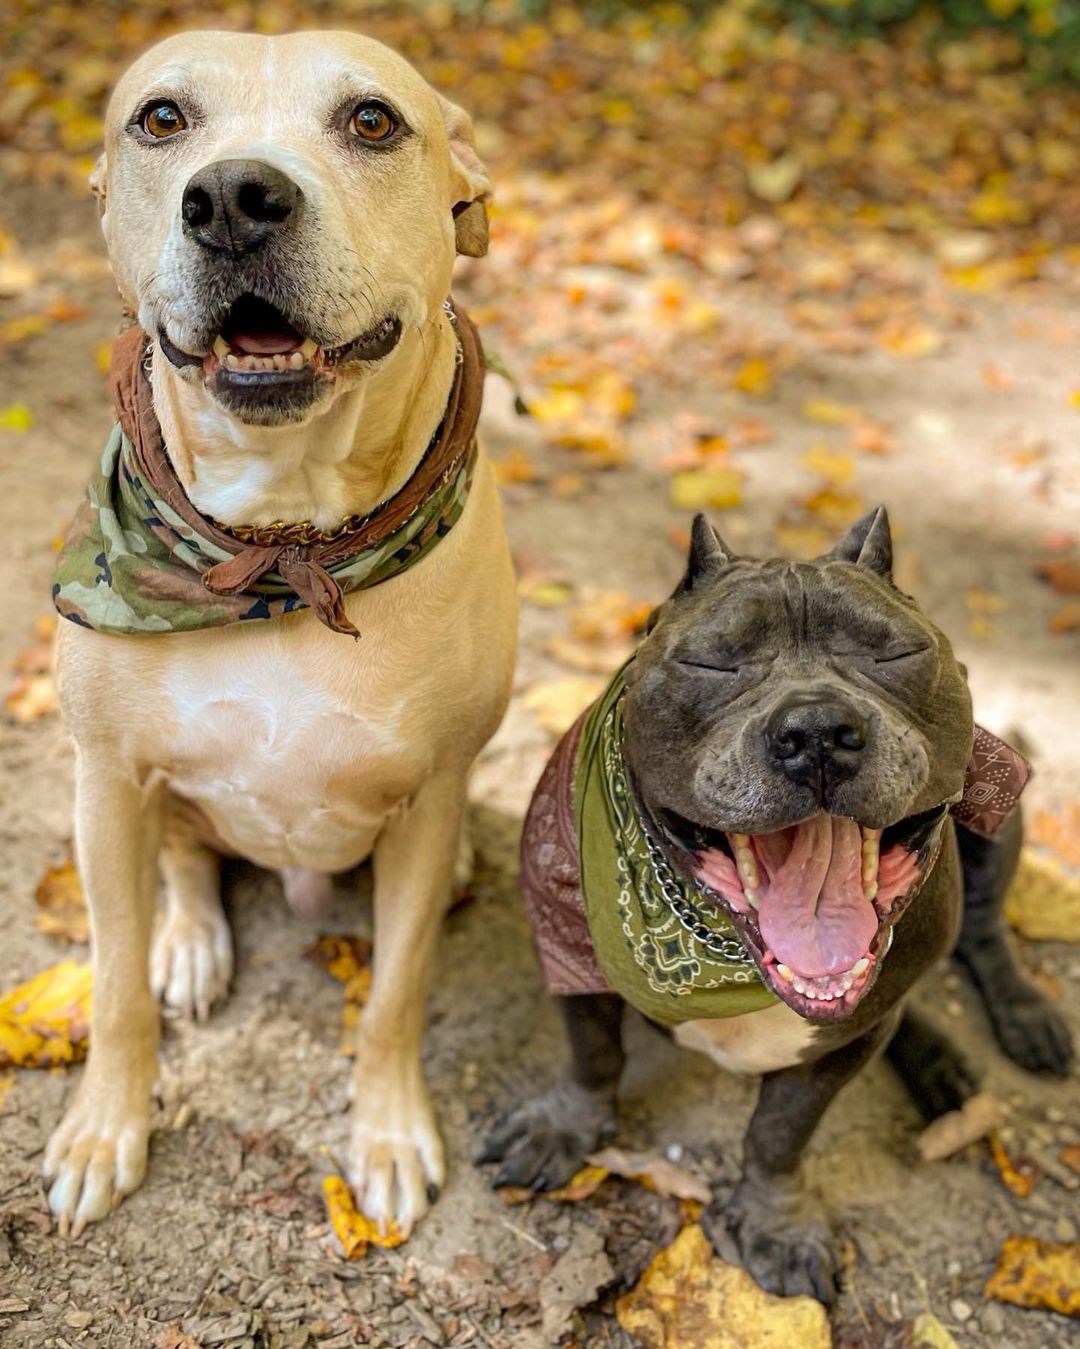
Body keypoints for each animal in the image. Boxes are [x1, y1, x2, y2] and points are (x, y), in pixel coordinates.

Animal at [49, 29, 517, 1235]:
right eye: (162, 119)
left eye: (372, 121)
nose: (232, 201)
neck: (283, 545)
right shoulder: (104, 780)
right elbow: (114, 987)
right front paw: (104, 1129)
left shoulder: (429, 797)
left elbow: (395, 993)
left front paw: (388, 1133)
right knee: (184, 863)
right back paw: (190, 943)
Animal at [482, 507, 1067, 1295]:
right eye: (712, 665)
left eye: (897, 654)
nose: (815, 728)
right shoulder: (573, 954)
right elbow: (593, 1054)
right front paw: (565, 1127)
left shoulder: (840, 1047)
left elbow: (781, 1131)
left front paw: (775, 1223)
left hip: (999, 827)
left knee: (979, 935)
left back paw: (1017, 1017)